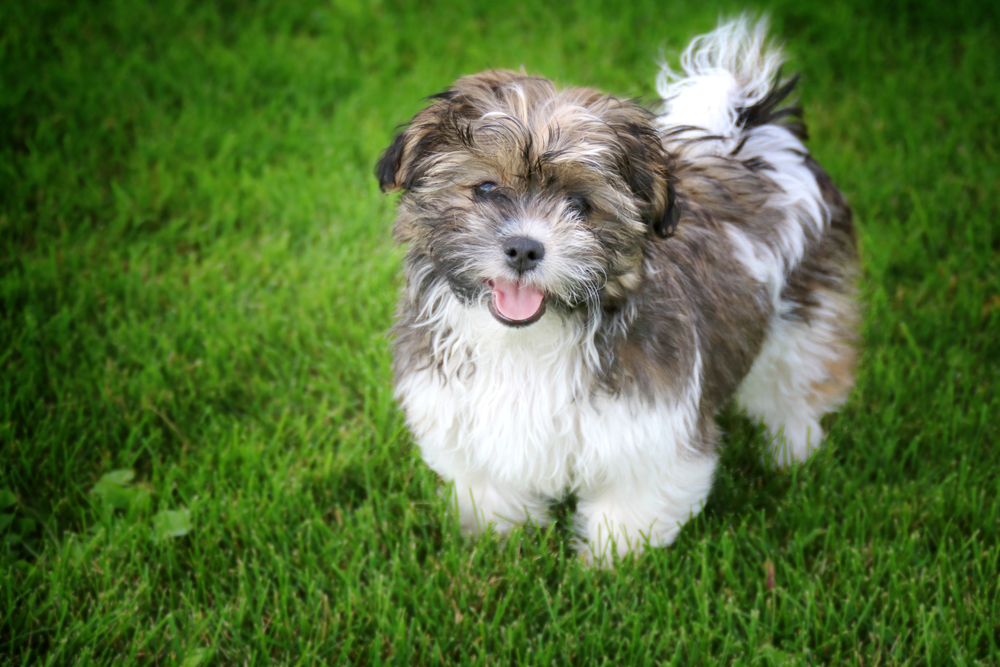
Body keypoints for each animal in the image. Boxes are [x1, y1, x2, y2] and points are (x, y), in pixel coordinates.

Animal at [376, 17, 860, 564]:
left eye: (580, 205)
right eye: (485, 189)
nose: (523, 249)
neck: (531, 339)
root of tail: (759, 140)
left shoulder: (648, 433)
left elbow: (631, 508)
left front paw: (609, 567)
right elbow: (494, 492)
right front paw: (504, 542)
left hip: (804, 319)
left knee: (796, 384)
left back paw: (792, 452)